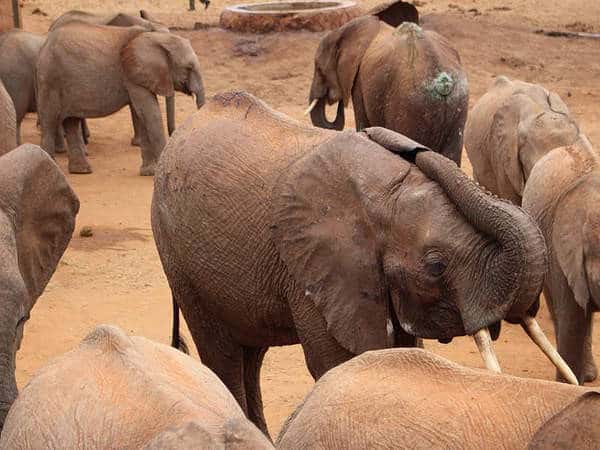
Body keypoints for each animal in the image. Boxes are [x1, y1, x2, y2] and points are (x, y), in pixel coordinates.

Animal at [36, 22, 205, 175]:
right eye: (188, 68)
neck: (154, 36)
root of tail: (45, 44)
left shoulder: (137, 76)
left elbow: (141, 115)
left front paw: (148, 172)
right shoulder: (132, 74)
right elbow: (150, 113)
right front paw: (155, 172)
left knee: (71, 122)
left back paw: (81, 171)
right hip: (50, 80)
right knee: (49, 122)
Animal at [151, 91, 576, 436]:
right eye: (436, 266)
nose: (411, 148)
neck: (384, 192)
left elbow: (398, 352)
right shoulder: (311, 267)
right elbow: (340, 360)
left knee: (250, 356)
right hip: (179, 258)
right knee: (221, 353)